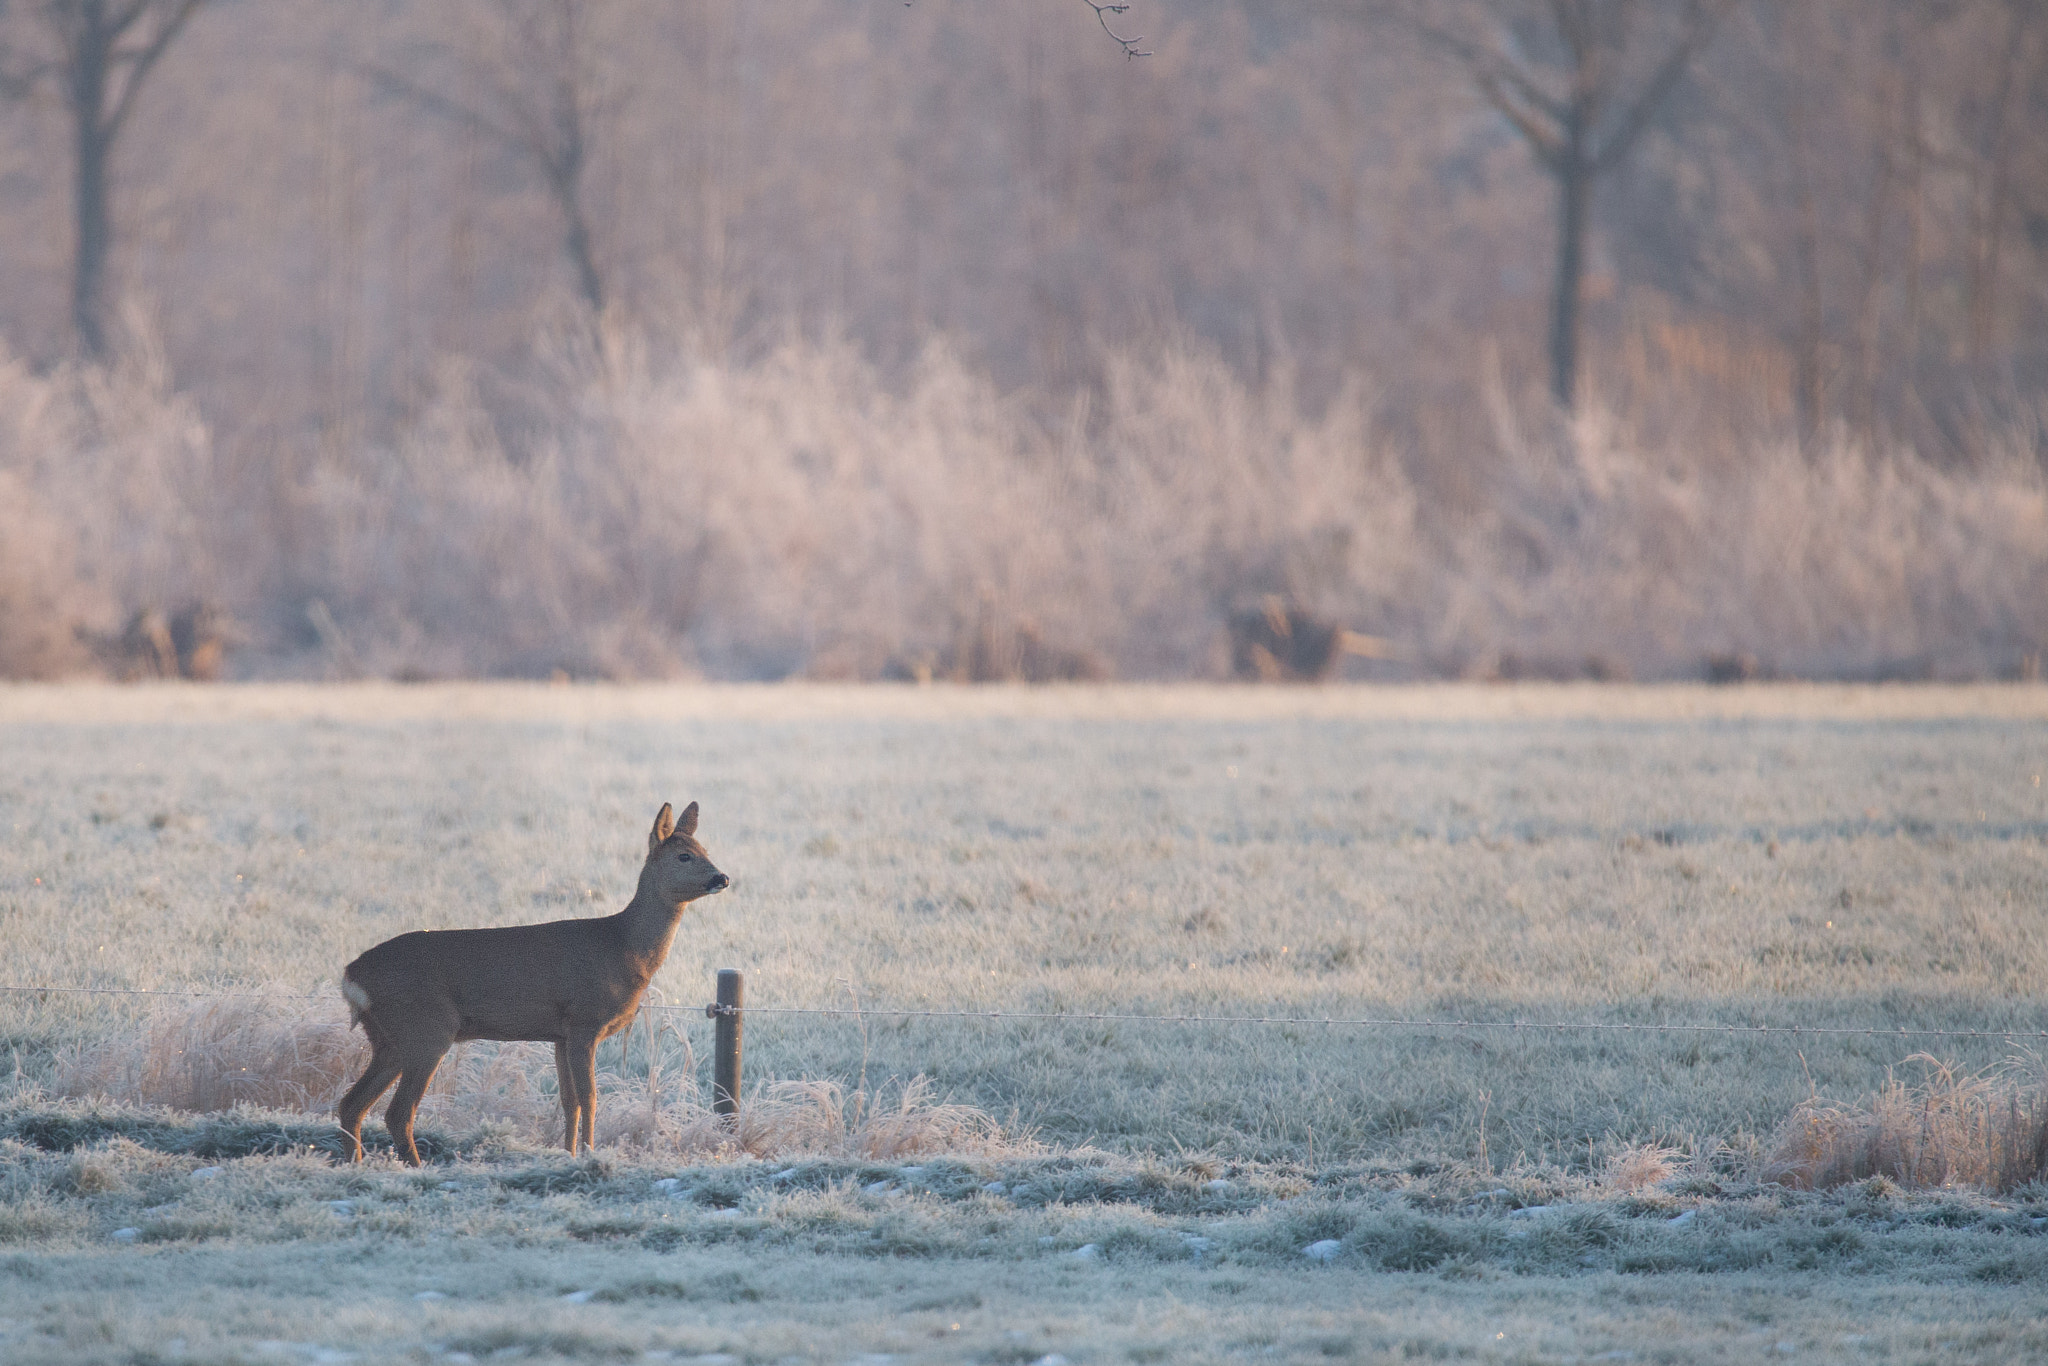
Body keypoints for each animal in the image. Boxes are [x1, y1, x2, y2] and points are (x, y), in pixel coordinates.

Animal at [336, 801, 729, 1165]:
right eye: (683, 856)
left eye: (706, 850)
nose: (722, 878)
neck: (623, 946)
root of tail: (352, 974)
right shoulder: (585, 1021)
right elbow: (590, 1097)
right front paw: (589, 1155)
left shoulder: (560, 1034)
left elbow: (569, 1101)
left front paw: (569, 1154)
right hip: (426, 1028)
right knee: (398, 1111)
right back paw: (415, 1168)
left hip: (388, 1037)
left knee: (351, 1104)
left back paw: (356, 1164)